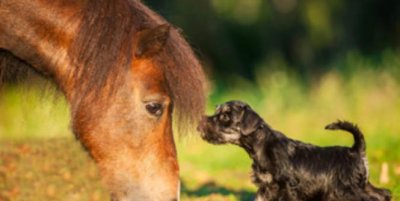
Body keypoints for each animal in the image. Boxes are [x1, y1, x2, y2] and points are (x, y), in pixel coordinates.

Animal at [197, 101, 390, 200]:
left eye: (225, 116)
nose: (199, 125)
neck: (261, 146)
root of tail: (356, 150)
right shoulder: (265, 188)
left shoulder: (286, 187)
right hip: (362, 185)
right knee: (384, 194)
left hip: (346, 190)